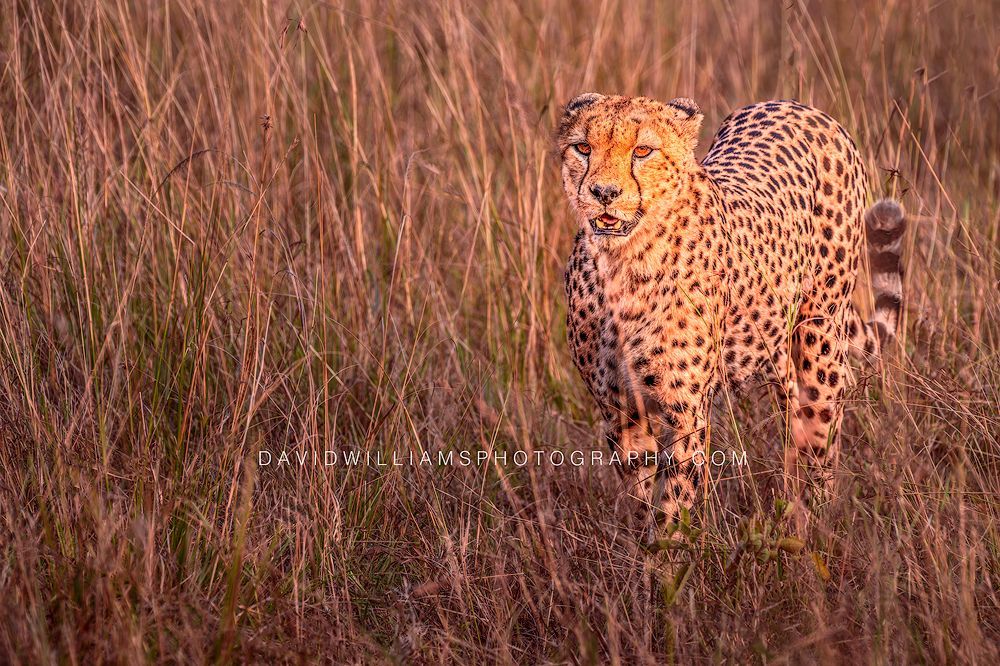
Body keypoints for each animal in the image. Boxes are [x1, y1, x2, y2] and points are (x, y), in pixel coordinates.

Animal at [558, 94, 906, 528]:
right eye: (583, 148)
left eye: (642, 151)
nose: (603, 192)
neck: (622, 262)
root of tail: (798, 105)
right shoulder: (618, 405)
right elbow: (639, 494)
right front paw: (637, 541)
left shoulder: (686, 409)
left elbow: (673, 502)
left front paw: (668, 545)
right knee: (795, 414)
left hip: (820, 337)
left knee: (822, 427)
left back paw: (816, 519)